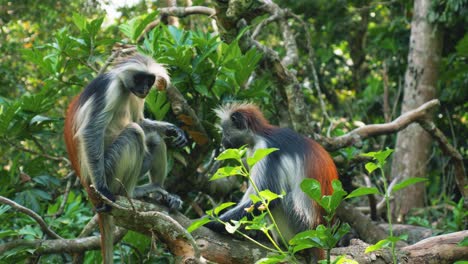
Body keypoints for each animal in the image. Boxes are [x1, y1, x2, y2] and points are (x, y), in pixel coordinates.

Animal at [62, 54, 186, 264]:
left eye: (149, 80)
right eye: (139, 78)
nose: (144, 89)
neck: (123, 85)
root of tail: (87, 184)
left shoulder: (134, 95)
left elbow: (140, 121)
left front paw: (173, 129)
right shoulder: (110, 88)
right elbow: (90, 131)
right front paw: (104, 190)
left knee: (153, 137)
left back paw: (156, 190)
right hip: (109, 170)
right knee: (134, 133)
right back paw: (129, 193)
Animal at [207, 102, 338, 260]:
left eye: (225, 133)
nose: (222, 142)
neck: (261, 134)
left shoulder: (266, 150)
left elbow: (267, 198)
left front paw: (212, 223)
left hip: (298, 226)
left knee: (282, 199)